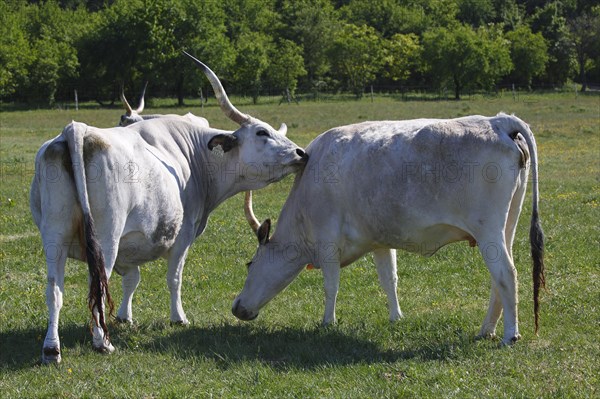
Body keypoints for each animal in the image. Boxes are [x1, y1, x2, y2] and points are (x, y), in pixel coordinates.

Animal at [28, 54, 310, 366]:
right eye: (262, 132)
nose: (301, 153)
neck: (197, 156)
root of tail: (78, 129)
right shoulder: (182, 236)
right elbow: (174, 278)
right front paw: (178, 318)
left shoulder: (131, 244)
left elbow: (132, 279)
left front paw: (125, 316)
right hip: (105, 239)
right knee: (98, 284)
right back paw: (102, 342)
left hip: (55, 236)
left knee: (54, 289)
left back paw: (52, 349)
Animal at [232, 113, 548, 346]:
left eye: (250, 264)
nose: (236, 307)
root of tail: (498, 121)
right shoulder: (380, 241)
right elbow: (389, 279)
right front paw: (396, 317)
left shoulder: (327, 241)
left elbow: (331, 285)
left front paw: (327, 323)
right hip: (505, 227)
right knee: (500, 278)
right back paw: (486, 330)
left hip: (488, 231)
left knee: (506, 273)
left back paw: (509, 335)